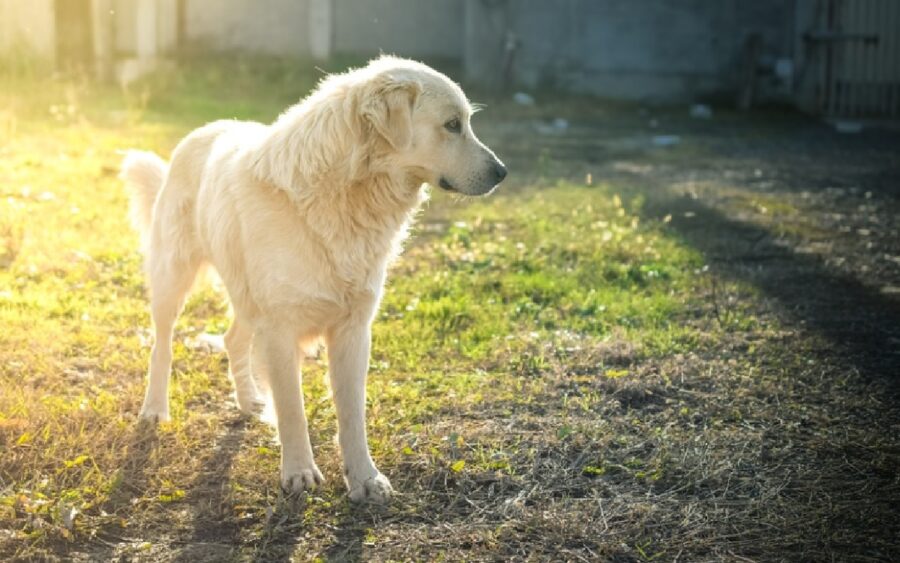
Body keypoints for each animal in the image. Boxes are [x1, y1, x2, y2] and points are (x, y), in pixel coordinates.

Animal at [121, 57, 506, 502]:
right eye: (452, 124)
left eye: (465, 122)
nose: (503, 172)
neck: (343, 196)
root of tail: (203, 130)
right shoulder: (279, 328)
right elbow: (292, 409)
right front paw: (299, 472)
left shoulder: (353, 331)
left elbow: (352, 414)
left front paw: (365, 478)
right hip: (173, 280)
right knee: (162, 348)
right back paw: (154, 409)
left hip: (246, 298)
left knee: (233, 339)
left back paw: (249, 401)